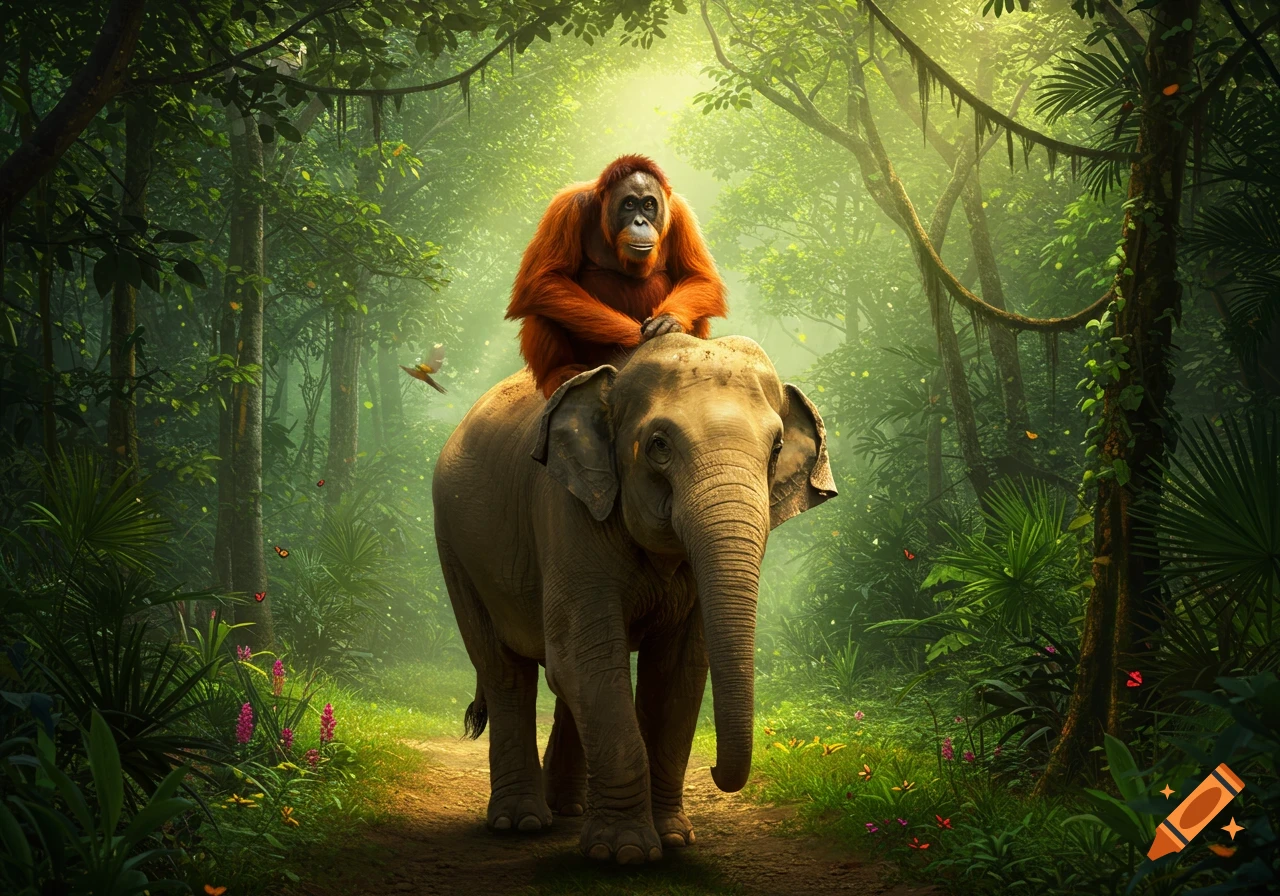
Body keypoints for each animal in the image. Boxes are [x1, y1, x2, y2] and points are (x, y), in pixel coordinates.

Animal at [431, 333, 836, 864]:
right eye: (659, 446)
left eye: (777, 448)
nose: (715, 772)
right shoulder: (566, 510)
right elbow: (585, 659)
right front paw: (623, 853)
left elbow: (677, 671)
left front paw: (674, 840)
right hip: (454, 547)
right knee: (506, 671)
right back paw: (521, 823)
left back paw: (570, 809)